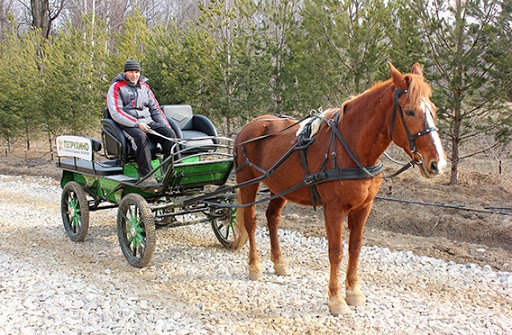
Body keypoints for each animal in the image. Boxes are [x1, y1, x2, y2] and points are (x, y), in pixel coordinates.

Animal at [232, 63, 444, 318]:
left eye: (433, 110)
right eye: (410, 112)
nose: (437, 163)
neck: (350, 148)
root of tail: (250, 125)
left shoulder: (363, 208)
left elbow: (355, 248)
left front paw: (353, 292)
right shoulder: (334, 209)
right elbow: (336, 251)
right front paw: (336, 299)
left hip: (280, 187)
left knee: (272, 218)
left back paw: (279, 263)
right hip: (247, 182)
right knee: (251, 221)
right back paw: (254, 266)